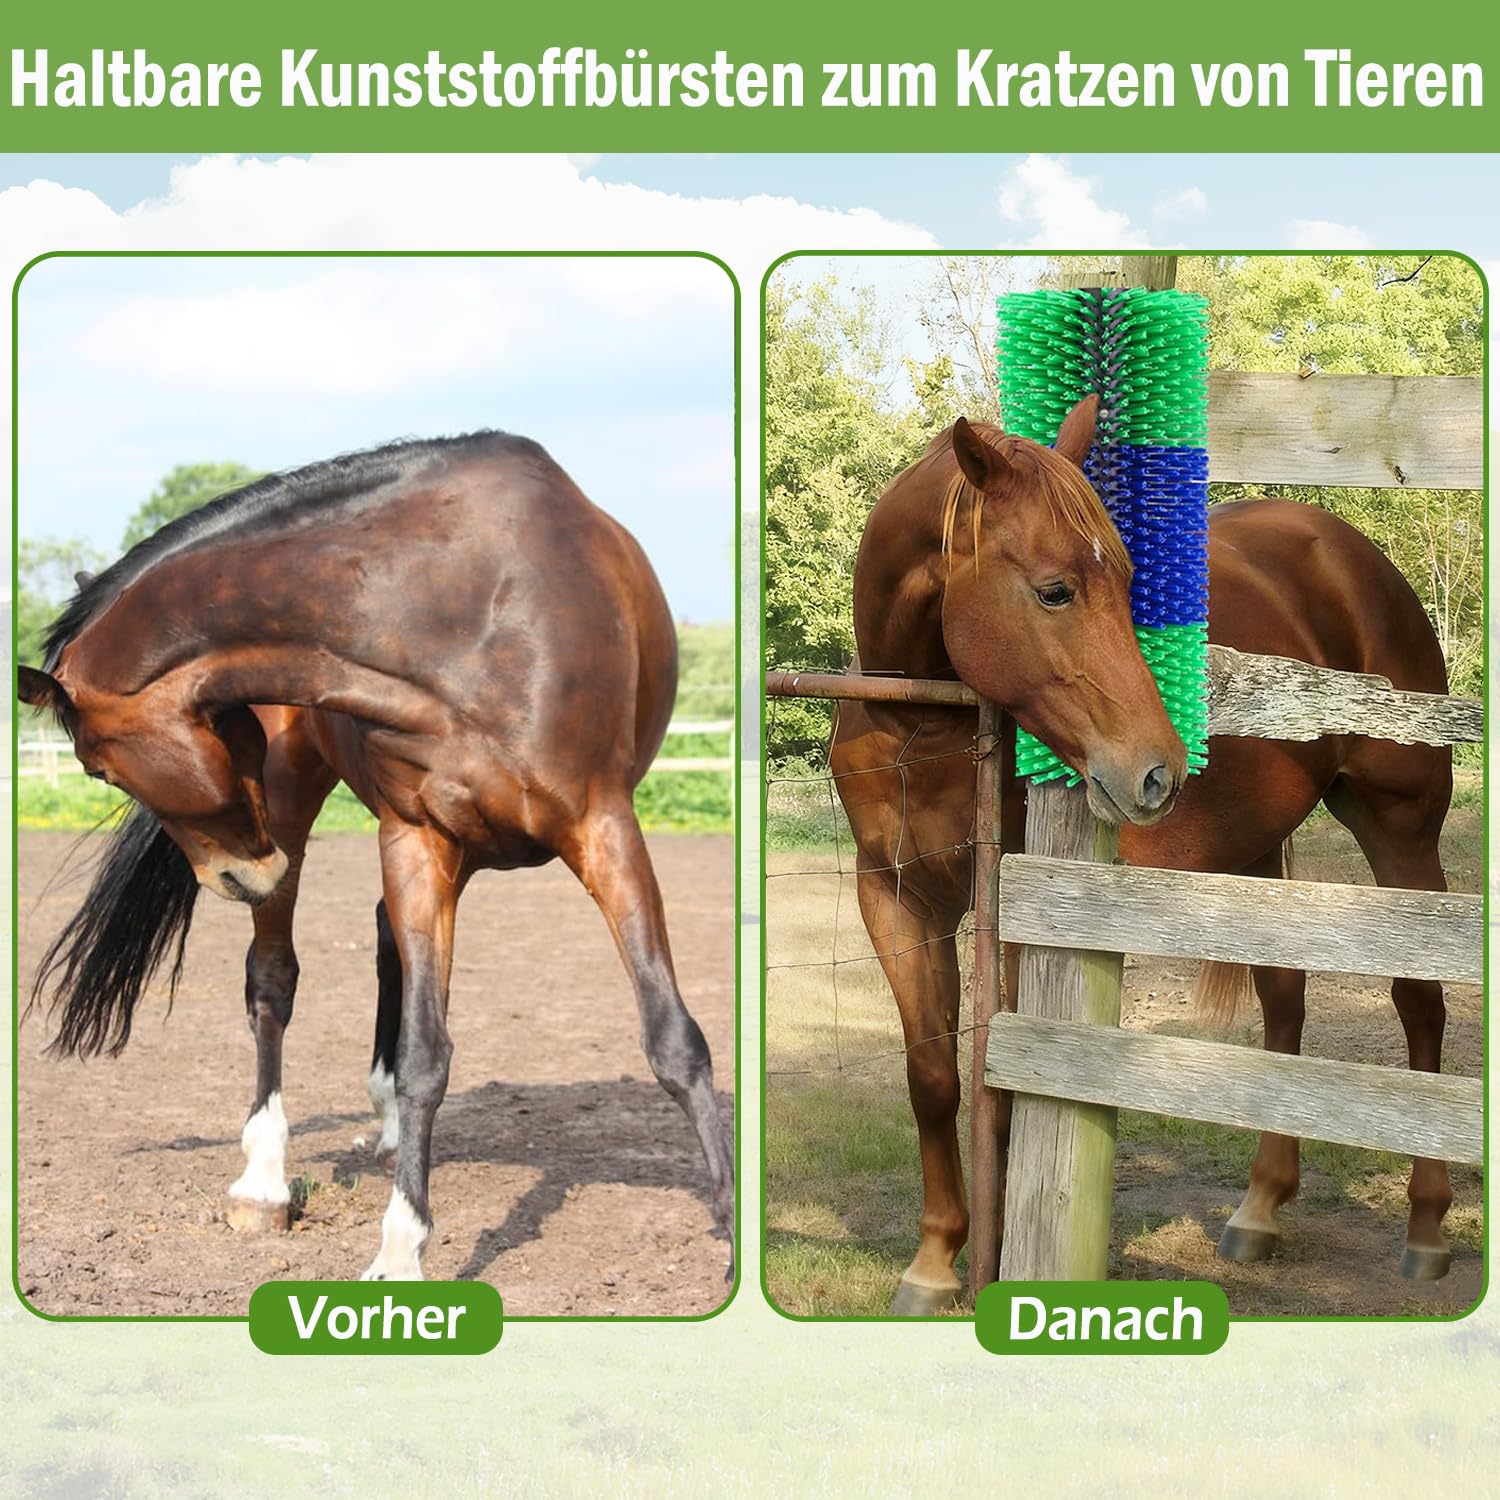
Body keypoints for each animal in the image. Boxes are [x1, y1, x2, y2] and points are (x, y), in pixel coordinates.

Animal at [19, 431, 734, 1287]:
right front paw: (400, 1248)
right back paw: (266, 1180)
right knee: (274, 983)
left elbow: (675, 1039)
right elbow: (427, 1054)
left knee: (382, 935)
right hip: (293, 813)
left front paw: (733, 1236)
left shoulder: (604, 827)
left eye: (97, 769)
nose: (235, 879)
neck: (458, 619)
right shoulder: (416, 838)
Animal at [830, 399, 1455, 1315]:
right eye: (1054, 590)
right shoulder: (898, 898)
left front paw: (1002, 1252)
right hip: (1254, 850)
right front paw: (936, 1260)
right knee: (1284, 1000)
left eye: (1129, 584)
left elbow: (1008, 1082)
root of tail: (1347, 551)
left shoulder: (1022, 912)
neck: (921, 724)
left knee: (1419, 1002)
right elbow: (933, 1075)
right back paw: (1260, 1209)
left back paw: (1426, 1226)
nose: (1158, 769)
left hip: (1401, 830)